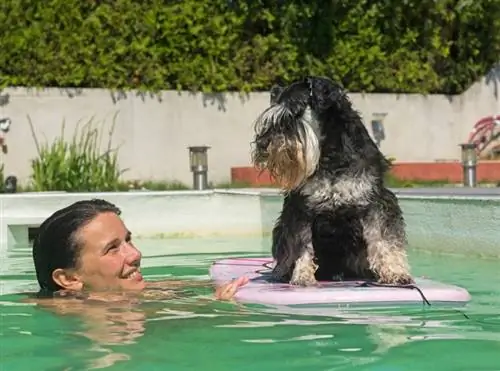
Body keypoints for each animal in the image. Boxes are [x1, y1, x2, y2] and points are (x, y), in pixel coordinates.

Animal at [252, 76, 412, 288]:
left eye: (294, 113)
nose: (262, 144)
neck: (330, 153)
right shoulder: (301, 209)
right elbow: (302, 245)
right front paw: (302, 275)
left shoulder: (376, 203)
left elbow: (384, 240)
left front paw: (395, 273)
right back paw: (282, 271)